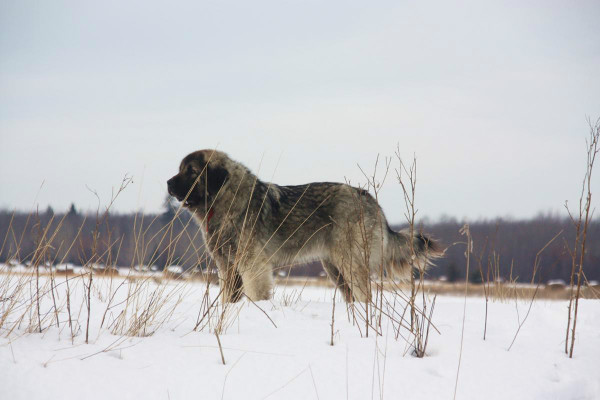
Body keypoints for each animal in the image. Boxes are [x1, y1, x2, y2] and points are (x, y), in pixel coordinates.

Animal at [166, 150, 438, 304]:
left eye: (191, 171)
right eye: (180, 170)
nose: (168, 183)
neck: (226, 199)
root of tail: (368, 198)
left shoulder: (253, 265)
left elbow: (256, 293)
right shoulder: (227, 266)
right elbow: (227, 297)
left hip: (350, 262)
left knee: (365, 295)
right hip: (335, 268)